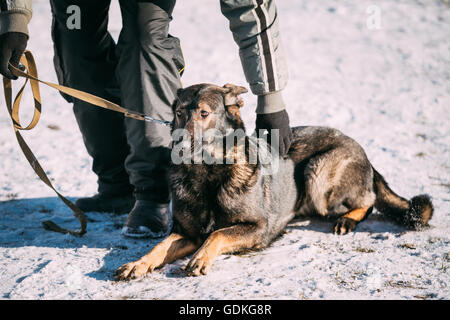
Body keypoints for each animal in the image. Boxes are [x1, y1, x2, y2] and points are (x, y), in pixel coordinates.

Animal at [115, 83, 432, 280]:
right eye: (179, 113)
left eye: (204, 113)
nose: (178, 143)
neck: (207, 175)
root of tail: (359, 148)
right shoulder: (187, 233)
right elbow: (158, 248)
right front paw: (137, 264)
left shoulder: (257, 228)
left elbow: (218, 235)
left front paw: (201, 258)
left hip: (317, 174)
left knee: (367, 201)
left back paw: (348, 220)